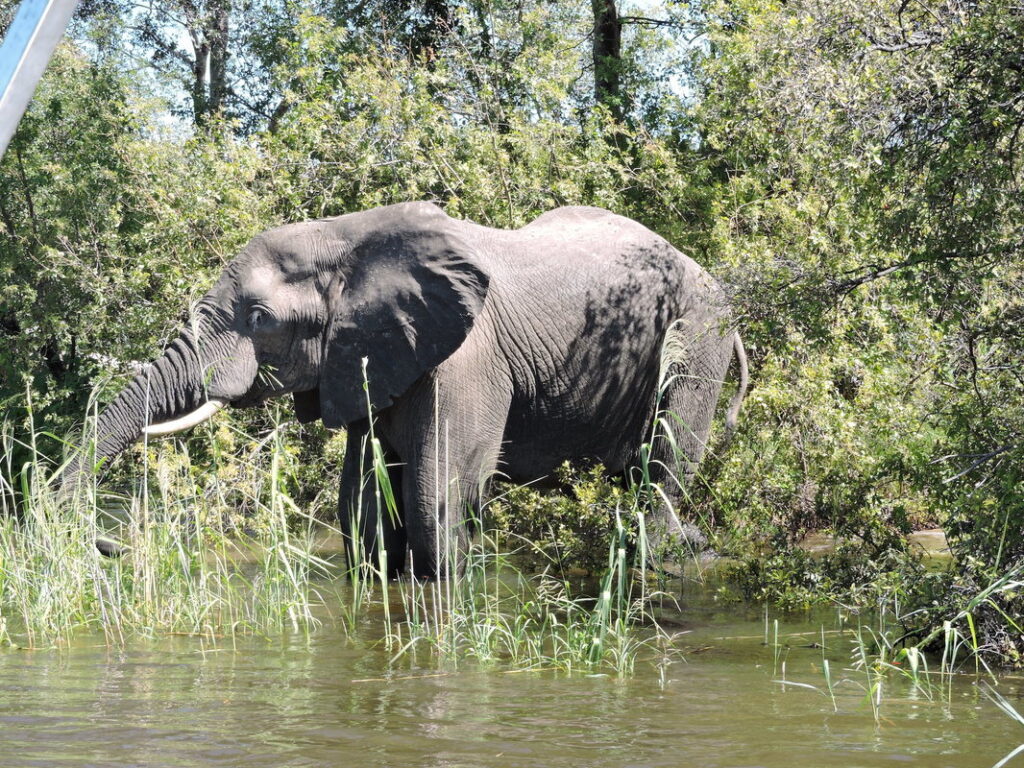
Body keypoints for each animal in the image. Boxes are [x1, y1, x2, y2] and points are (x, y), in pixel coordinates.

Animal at [63, 201, 748, 578]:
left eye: (259, 317)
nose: (115, 546)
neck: (346, 237)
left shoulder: (467, 358)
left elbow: (433, 497)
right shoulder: (363, 360)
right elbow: (364, 509)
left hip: (696, 341)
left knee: (661, 470)